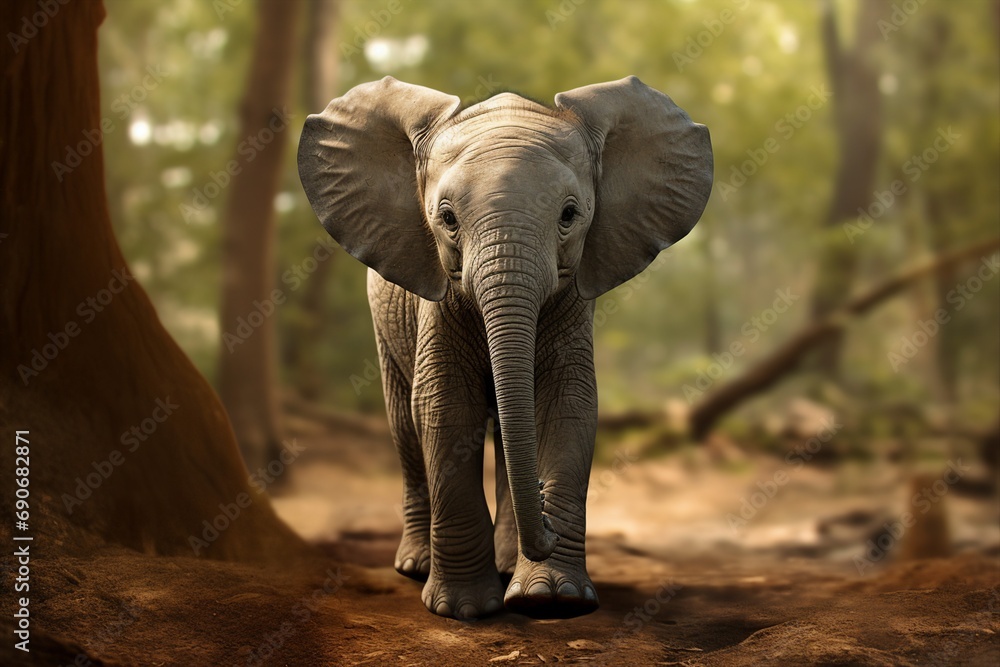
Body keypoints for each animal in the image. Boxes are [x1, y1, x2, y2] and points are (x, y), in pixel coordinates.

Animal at [297, 75, 712, 620]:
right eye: (447, 218)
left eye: (569, 215)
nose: (546, 518)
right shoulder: (438, 298)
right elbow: (444, 408)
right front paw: (464, 610)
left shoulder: (573, 299)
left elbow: (567, 405)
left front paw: (553, 600)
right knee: (404, 423)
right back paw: (415, 566)